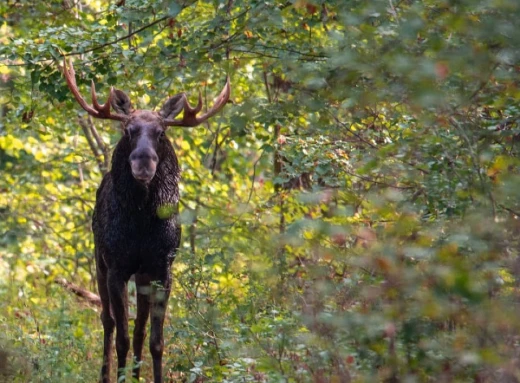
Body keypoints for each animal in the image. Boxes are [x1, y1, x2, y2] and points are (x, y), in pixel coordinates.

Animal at [62, 57, 230, 383]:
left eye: (161, 133)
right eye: (128, 130)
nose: (143, 163)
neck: (140, 226)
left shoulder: (161, 269)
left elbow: (155, 340)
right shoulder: (116, 267)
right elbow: (122, 338)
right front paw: (119, 376)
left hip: (140, 276)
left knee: (139, 328)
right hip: (99, 262)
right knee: (107, 321)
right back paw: (105, 375)